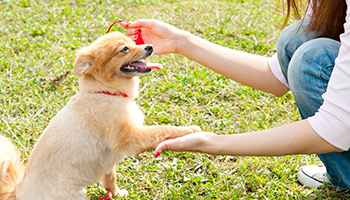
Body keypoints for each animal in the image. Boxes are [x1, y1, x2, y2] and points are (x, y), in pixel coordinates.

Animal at [0, 32, 201, 199]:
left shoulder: (109, 161)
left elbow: (110, 179)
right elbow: (161, 129)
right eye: (124, 49)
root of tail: (17, 191)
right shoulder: (129, 137)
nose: (150, 46)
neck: (107, 92)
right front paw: (189, 129)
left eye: (133, 41)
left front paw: (117, 194)